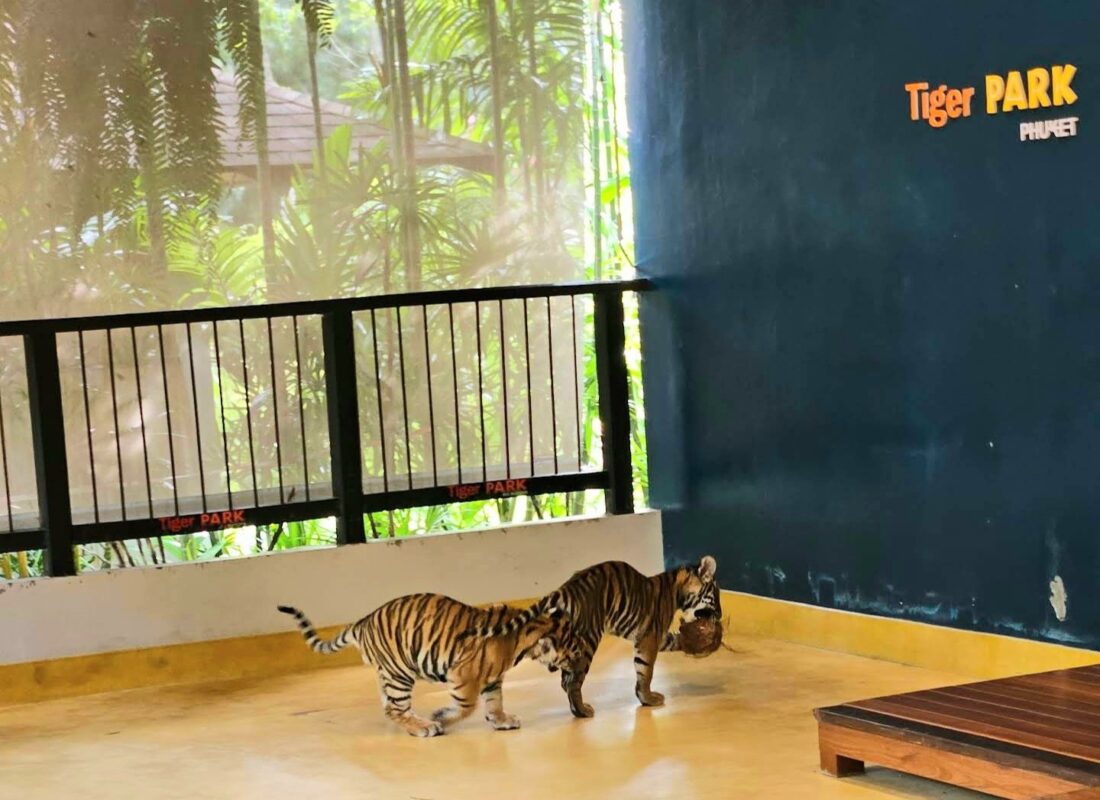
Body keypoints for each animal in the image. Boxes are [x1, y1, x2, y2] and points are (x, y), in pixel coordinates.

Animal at [277, 594, 573, 737]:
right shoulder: (462, 675)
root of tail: (362, 622)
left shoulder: (492, 678)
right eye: (572, 651)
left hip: (388, 673)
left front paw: (501, 720)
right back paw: (423, 727)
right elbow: (468, 705)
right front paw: (441, 717)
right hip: (400, 672)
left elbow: (494, 701)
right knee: (395, 708)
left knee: (389, 707)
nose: (571, 668)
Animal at [463, 556, 720, 718]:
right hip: (587, 641)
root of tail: (565, 589)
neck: (676, 589)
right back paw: (582, 712)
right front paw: (648, 699)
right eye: (716, 596)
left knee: (564, 679)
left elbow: (667, 646)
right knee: (572, 682)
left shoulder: (652, 636)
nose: (719, 615)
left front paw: (692, 642)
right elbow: (645, 671)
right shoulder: (649, 637)